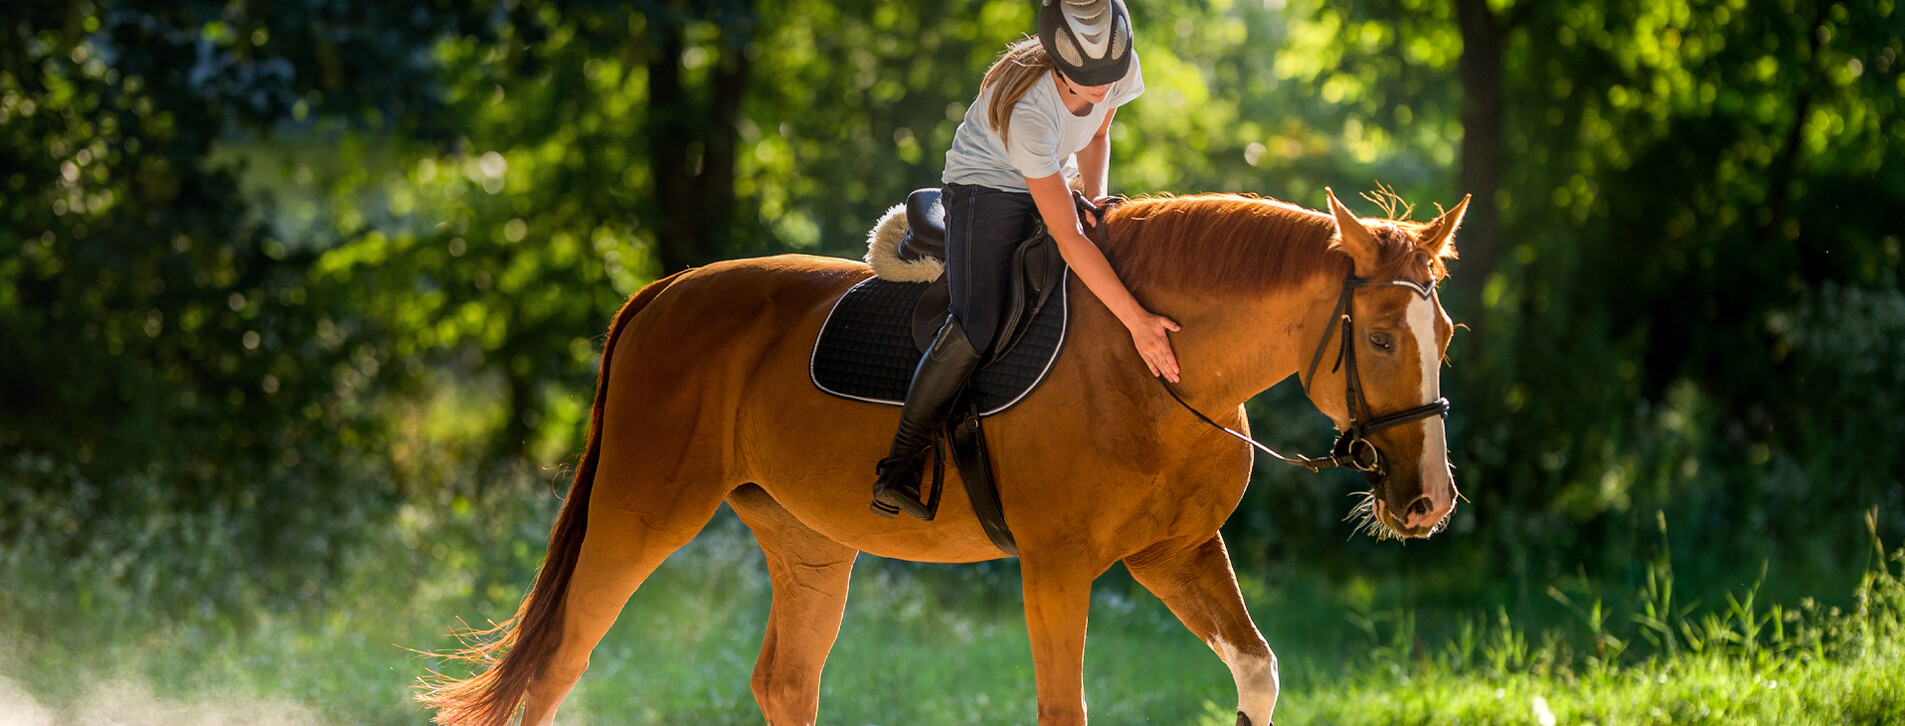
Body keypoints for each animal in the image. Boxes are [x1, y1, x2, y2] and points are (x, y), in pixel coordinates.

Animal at [421, 187, 1470, 724]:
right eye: (1381, 338)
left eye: (1446, 333)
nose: (1425, 502)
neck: (1151, 364)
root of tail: (662, 293)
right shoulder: (1057, 569)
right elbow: (1062, 707)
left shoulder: (1173, 554)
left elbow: (1256, 673)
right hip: (639, 515)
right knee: (558, 665)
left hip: (808, 545)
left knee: (784, 682)